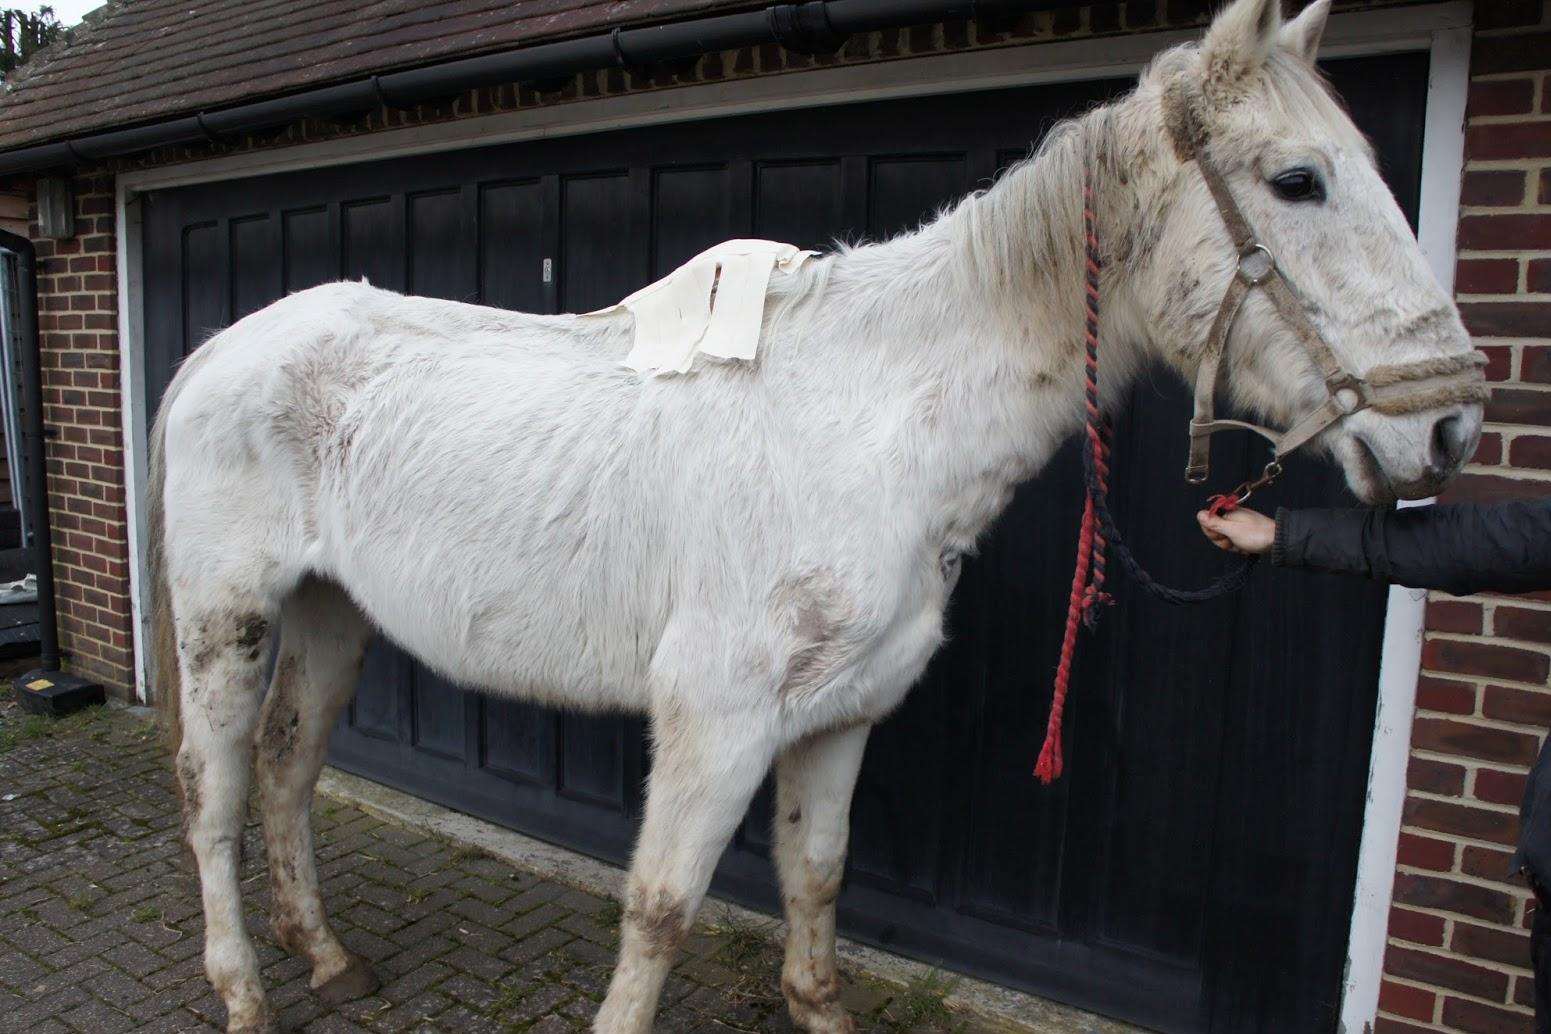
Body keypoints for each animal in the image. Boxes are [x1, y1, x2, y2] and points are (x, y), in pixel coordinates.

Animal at [151, 0, 1482, 1029]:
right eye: (1297, 181)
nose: (1450, 428)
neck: (873, 418)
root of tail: (219, 346)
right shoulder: (717, 719)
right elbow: (662, 906)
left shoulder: (842, 714)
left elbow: (819, 872)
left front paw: (817, 999)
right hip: (230, 616)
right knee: (213, 786)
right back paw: (244, 987)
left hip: (332, 611)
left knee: (289, 766)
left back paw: (327, 955)